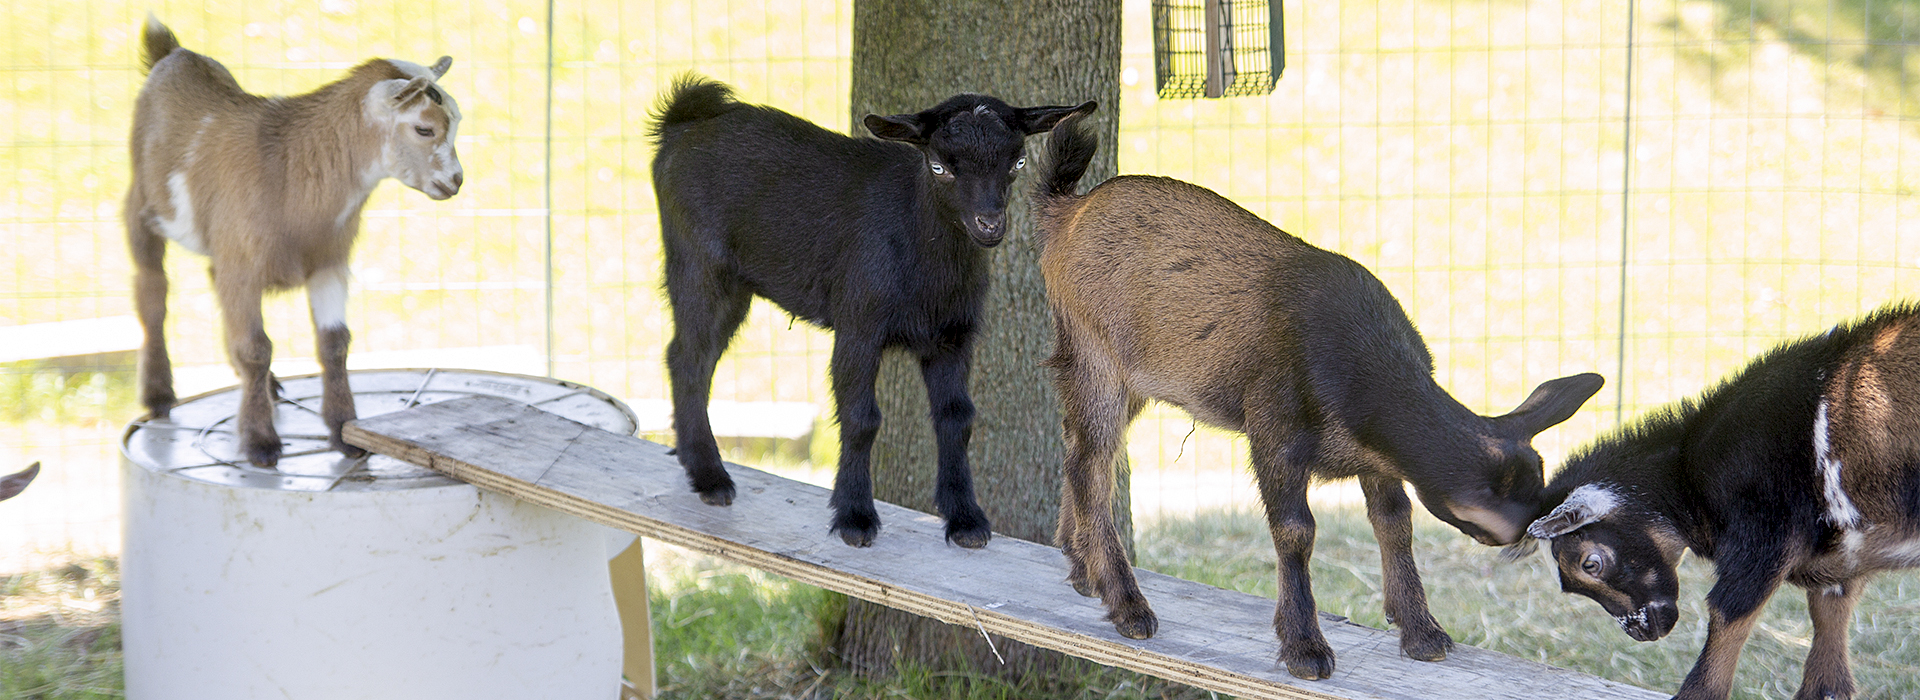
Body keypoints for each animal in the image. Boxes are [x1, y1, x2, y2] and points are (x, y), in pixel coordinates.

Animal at [126, 16, 463, 466]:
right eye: (424, 128)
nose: (456, 181)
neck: (289, 167)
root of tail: (173, 53)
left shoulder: (329, 260)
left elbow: (335, 343)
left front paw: (343, 429)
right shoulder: (242, 265)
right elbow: (255, 347)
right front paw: (260, 442)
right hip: (140, 207)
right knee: (152, 293)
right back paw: (159, 395)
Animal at [649, 75, 1094, 549]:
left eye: (1018, 162)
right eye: (939, 166)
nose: (989, 224)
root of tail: (682, 122)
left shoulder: (953, 335)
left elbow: (957, 417)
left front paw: (966, 519)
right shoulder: (858, 323)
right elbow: (862, 418)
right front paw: (855, 517)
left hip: (730, 282)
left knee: (695, 356)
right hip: (699, 262)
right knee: (689, 356)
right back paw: (711, 477)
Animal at [1033, 112, 1605, 679]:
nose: (1533, 545)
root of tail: (1067, 212)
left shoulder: (1376, 454)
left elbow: (1395, 521)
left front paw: (1421, 630)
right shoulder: (1272, 426)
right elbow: (1296, 532)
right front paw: (1305, 646)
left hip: (1126, 376)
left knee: (1079, 447)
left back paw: (1081, 568)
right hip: (1095, 351)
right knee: (1093, 464)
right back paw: (1127, 604)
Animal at [1524, 302, 1920, 700]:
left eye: (1590, 564)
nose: (1642, 630)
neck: (1686, 474)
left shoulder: (1766, 530)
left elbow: (1729, 612)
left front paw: (1698, 692)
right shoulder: (1839, 553)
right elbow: (1829, 615)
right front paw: (1823, 688)